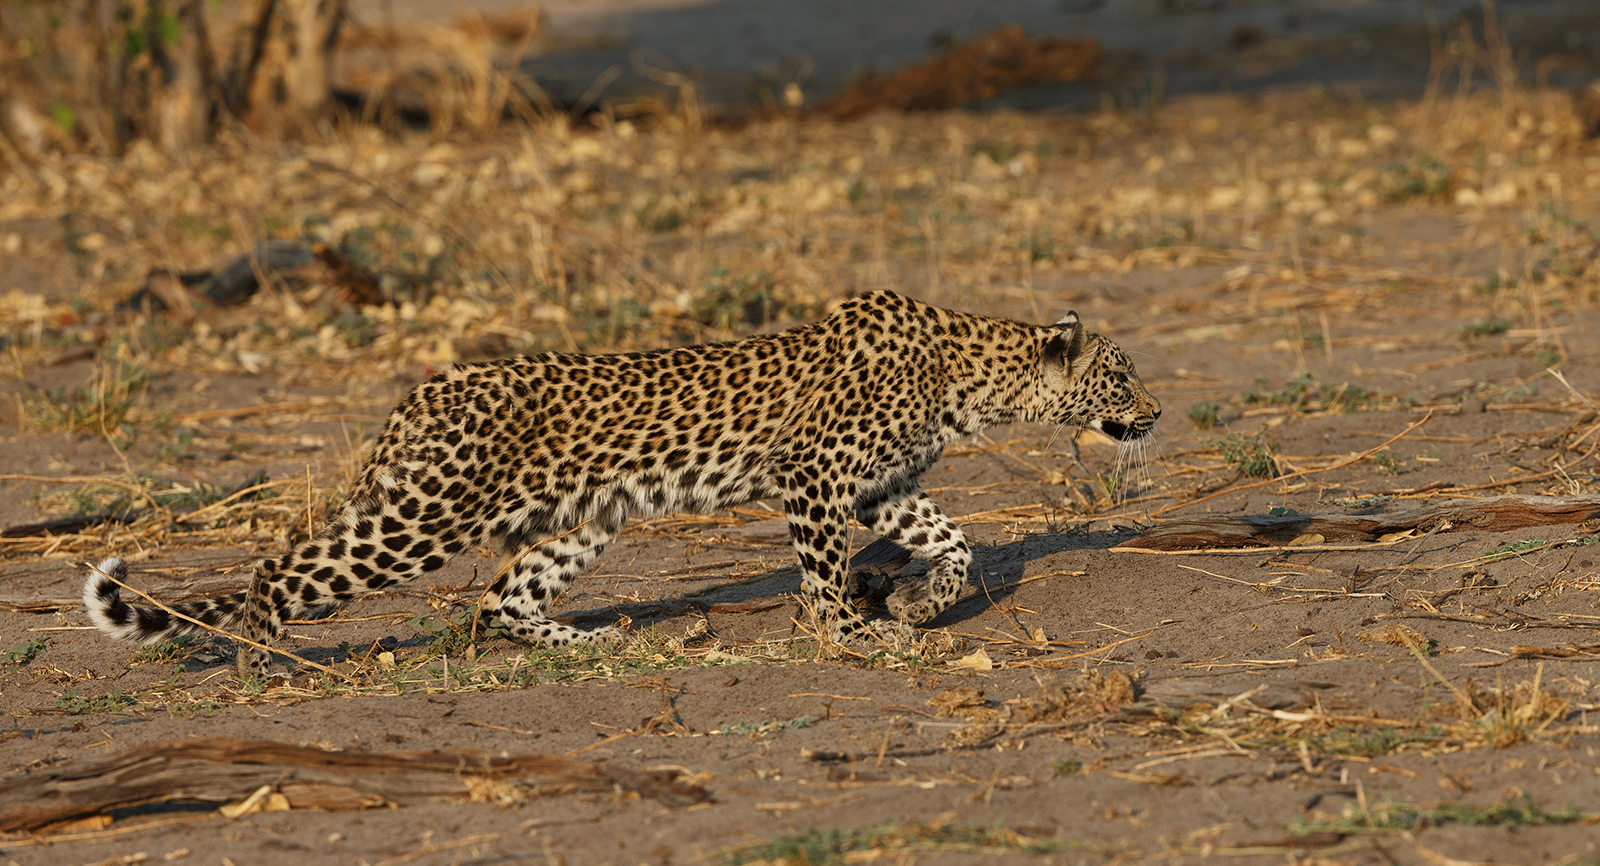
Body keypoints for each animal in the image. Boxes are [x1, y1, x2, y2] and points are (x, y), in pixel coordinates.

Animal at [84, 290, 1161, 675]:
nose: (1157, 413)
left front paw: (911, 602)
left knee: (502, 600)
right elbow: (822, 572)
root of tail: (420, 393)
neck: (970, 378)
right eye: (1122, 376)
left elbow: (955, 541)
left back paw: (597, 638)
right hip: (423, 516)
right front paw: (847, 630)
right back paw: (270, 659)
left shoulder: (878, 486)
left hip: (580, 522)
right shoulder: (816, 478)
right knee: (280, 570)